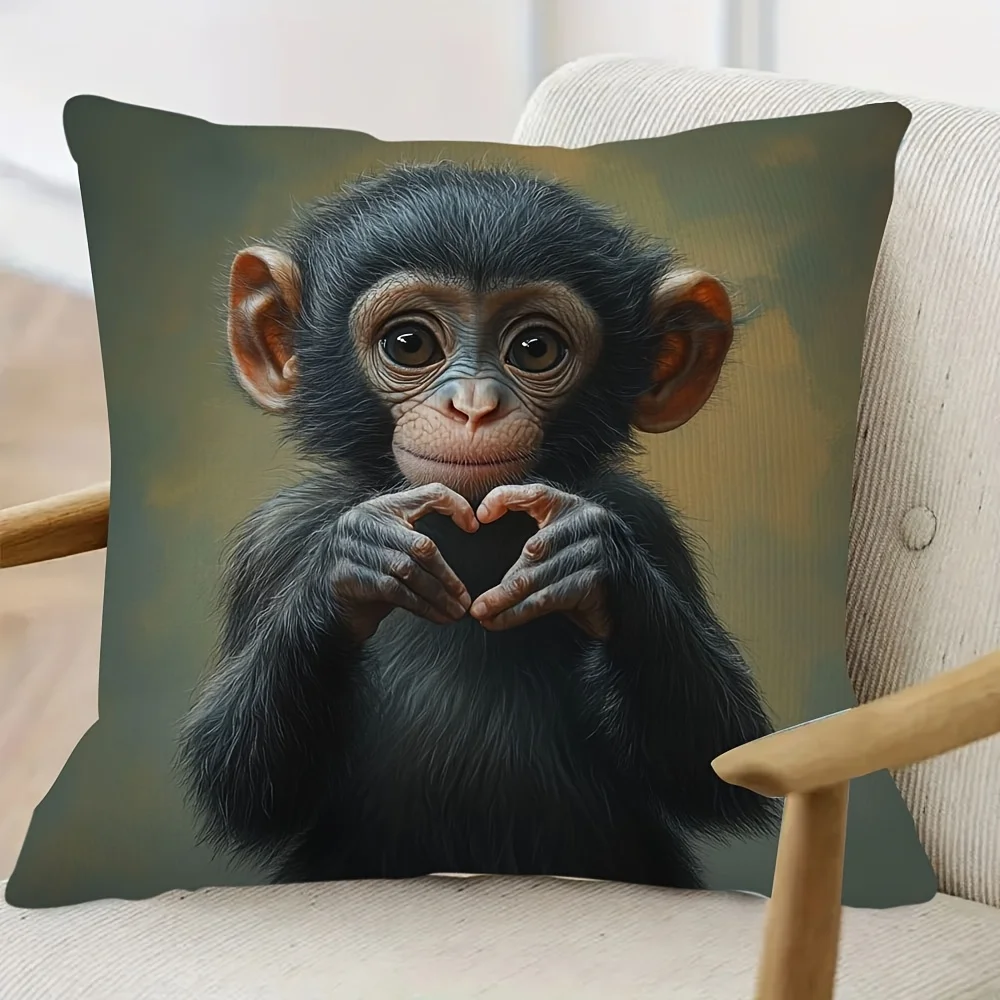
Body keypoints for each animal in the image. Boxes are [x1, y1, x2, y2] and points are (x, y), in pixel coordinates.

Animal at [177, 161, 779, 891]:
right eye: (409, 344)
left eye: (535, 348)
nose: (472, 406)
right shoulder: (276, 537)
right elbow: (243, 782)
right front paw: (357, 561)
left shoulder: (651, 524)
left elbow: (719, 758)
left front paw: (589, 559)